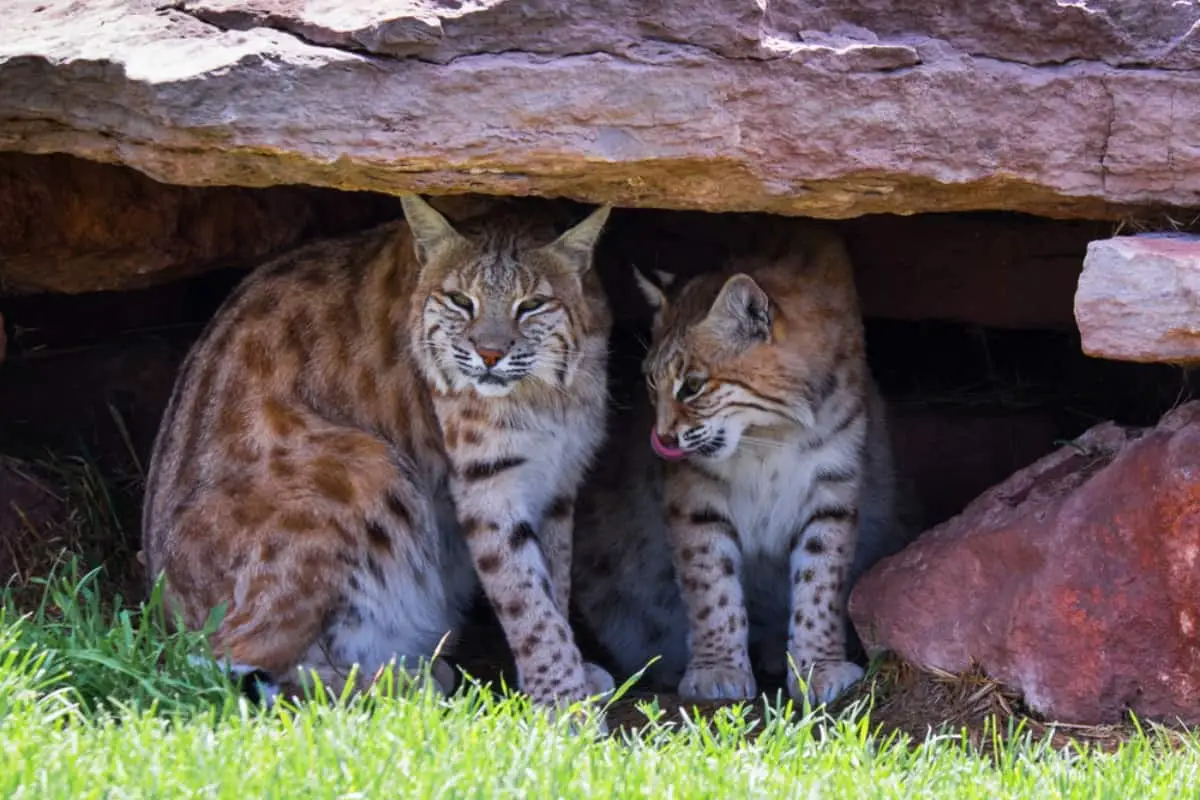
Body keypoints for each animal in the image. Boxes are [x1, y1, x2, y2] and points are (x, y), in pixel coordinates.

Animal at [144, 196, 619, 710]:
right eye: (460, 301)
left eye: (531, 305)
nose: (490, 355)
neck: (548, 390)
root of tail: (163, 611)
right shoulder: (487, 485)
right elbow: (525, 601)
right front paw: (564, 704)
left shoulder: (559, 477)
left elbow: (554, 582)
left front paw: (570, 679)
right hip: (362, 459)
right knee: (220, 662)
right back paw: (403, 684)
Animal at [571, 221, 902, 705]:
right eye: (651, 382)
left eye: (692, 386)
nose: (662, 439)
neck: (769, 434)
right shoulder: (694, 494)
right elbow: (711, 585)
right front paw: (716, 670)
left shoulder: (833, 485)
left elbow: (821, 579)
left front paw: (817, 667)